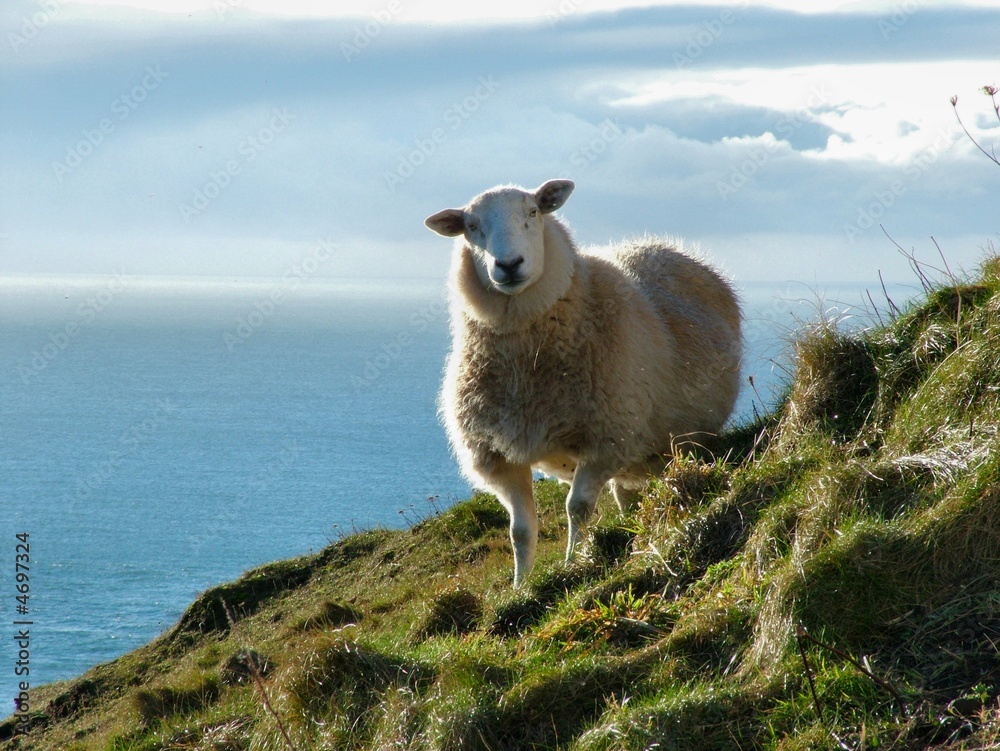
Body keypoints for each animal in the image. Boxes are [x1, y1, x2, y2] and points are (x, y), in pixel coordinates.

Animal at [425, 179, 742, 587]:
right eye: (471, 226)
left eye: (533, 212)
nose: (508, 265)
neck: (526, 368)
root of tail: (663, 245)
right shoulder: (497, 457)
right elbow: (519, 531)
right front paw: (520, 587)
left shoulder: (606, 438)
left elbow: (577, 509)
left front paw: (574, 564)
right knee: (625, 495)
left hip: (677, 441)